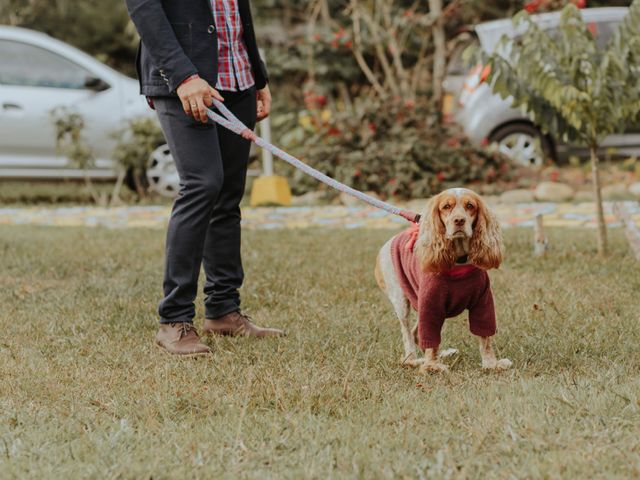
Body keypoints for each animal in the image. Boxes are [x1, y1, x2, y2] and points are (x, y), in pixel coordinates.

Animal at [376, 187, 510, 372]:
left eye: (470, 206)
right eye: (446, 206)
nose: (459, 220)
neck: (459, 261)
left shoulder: (483, 302)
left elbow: (485, 337)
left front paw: (491, 364)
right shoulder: (430, 304)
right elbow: (430, 338)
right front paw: (432, 366)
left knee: (416, 334)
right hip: (401, 302)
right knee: (408, 336)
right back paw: (415, 360)